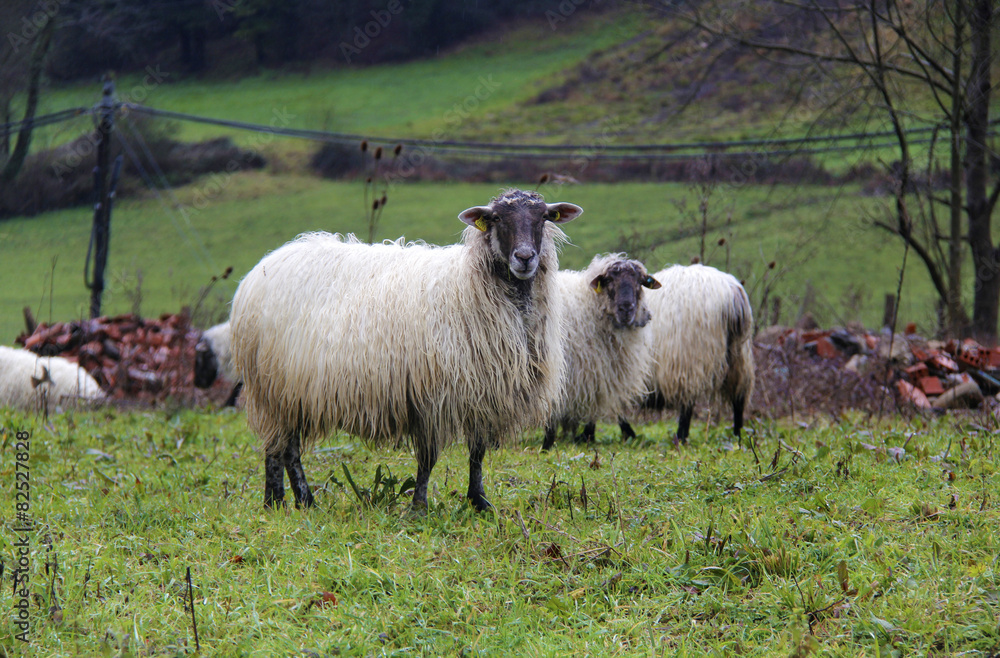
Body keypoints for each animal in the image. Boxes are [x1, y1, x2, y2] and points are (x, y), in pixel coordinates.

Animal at [230, 188, 583, 511]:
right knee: (283, 448)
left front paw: (479, 501)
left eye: (544, 217)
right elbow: (428, 458)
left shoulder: (482, 391)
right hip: (273, 389)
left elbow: (477, 452)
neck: (469, 286)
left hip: (286, 391)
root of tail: (266, 264)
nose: (525, 258)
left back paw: (284, 501)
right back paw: (292, 500)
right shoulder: (431, 395)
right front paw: (419, 506)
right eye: (496, 218)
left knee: (279, 446)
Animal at [541, 254, 661, 450]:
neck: (590, 306)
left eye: (640, 281)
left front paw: (587, 436)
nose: (626, 308)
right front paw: (547, 445)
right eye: (609, 280)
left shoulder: (597, 373)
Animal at [620, 264, 754, 445]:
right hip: (739, 356)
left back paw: (681, 437)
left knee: (687, 403)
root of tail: (731, 292)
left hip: (687, 358)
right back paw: (738, 436)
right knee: (738, 398)